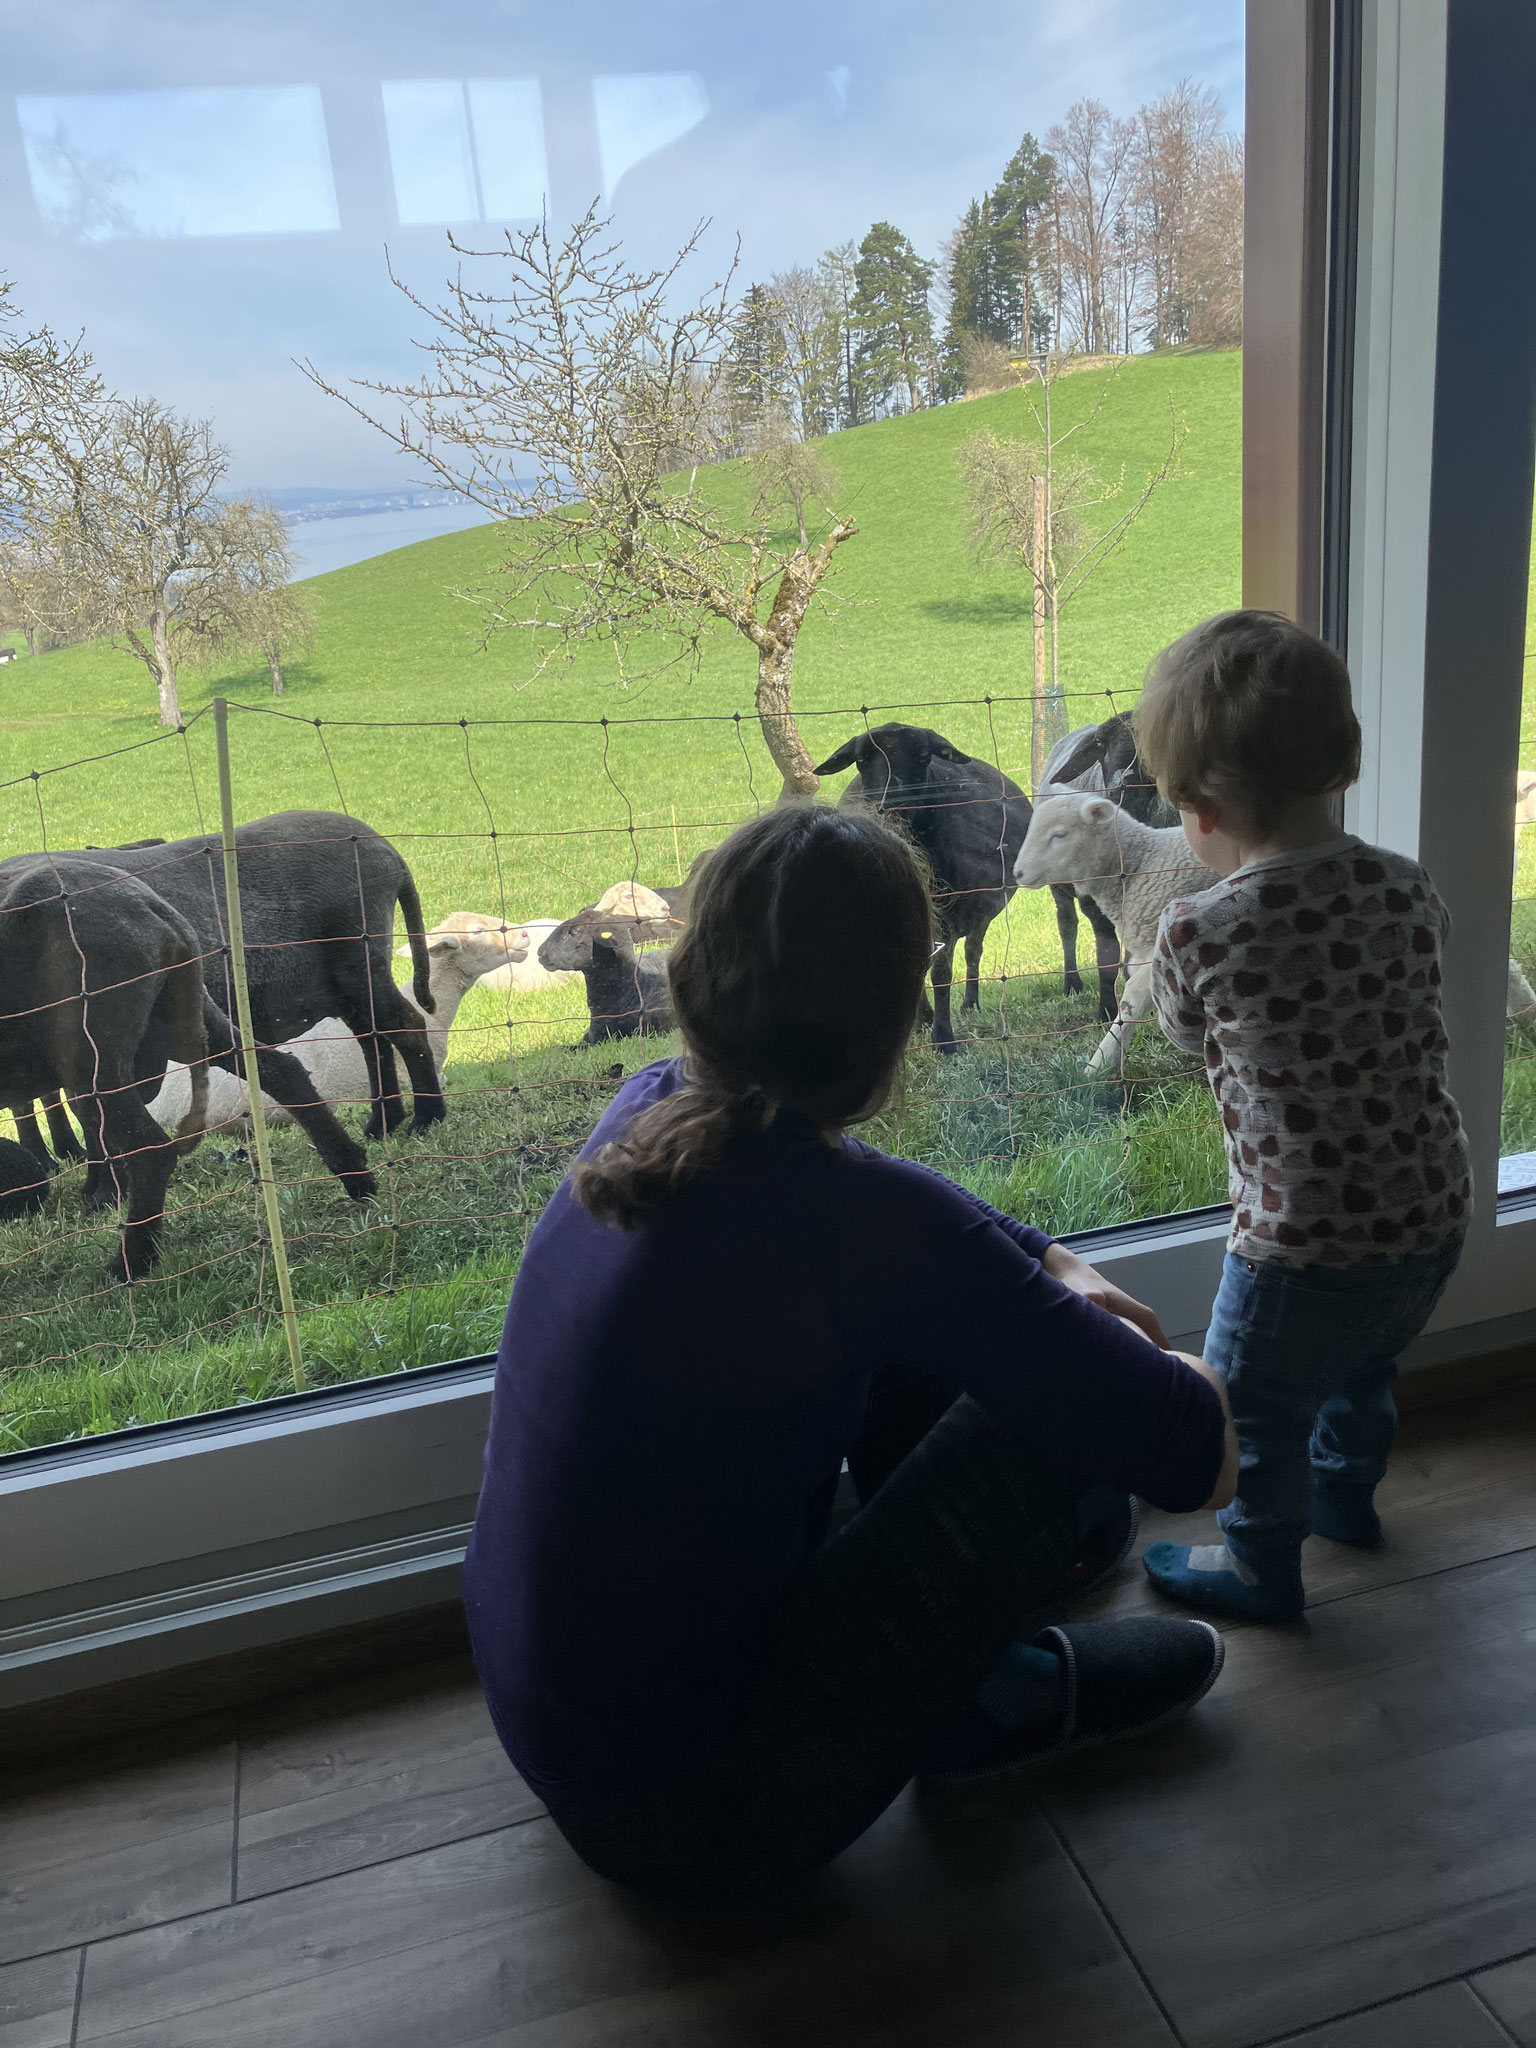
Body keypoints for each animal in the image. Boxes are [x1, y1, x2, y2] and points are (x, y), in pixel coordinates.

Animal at [819, 720, 1036, 1048]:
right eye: (860, 760)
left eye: (923, 757)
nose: (890, 808)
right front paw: (920, 1023)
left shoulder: (951, 914)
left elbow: (941, 974)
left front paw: (944, 1040)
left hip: (983, 907)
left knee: (973, 950)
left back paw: (970, 1004)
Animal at [1015, 790, 1220, 1073]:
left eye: (1059, 834)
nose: (1017, 873)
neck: (1139, 866)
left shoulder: (1160, 951)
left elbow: (1131, 1004)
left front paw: (1097, 1066)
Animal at [1040, 712, 1187, 1024]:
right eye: (1100, 745)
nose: (1125, 782)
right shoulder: (1092, 903)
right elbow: (1105, 956)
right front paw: (1106, 1010)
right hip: (1058, 886)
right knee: (1067, 925)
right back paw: (1072, 983)